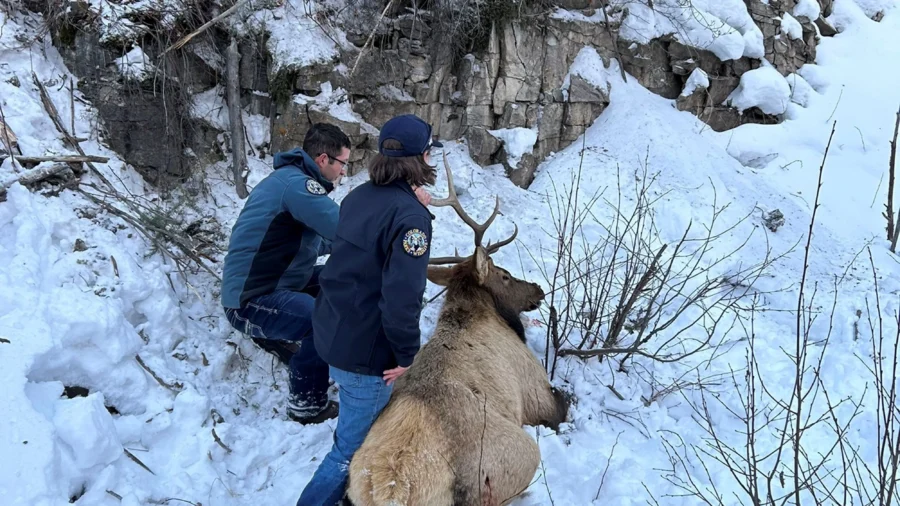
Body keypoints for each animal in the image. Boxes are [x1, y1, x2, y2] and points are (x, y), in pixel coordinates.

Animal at [346, 154, 568, 506]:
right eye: (504, 275)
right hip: (518, 455)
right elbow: (562, 405)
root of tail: (393, 490)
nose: (538, 289)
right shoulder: (536, 388)